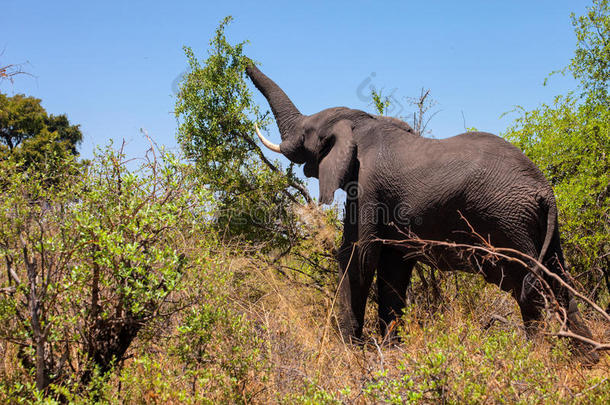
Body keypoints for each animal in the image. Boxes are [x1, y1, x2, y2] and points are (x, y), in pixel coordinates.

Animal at [245, 60, 596, 360]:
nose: (244, 62)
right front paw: (389, 351)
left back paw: (536, 356)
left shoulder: (367, 187)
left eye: (306, 134)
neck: (361, 122)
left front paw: (349, 353)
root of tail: (545, 191)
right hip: (540, 227)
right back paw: (586, 357)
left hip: (509, 222)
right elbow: (393, 271)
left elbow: (358, 258)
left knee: (528, 287)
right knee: (559, 281)